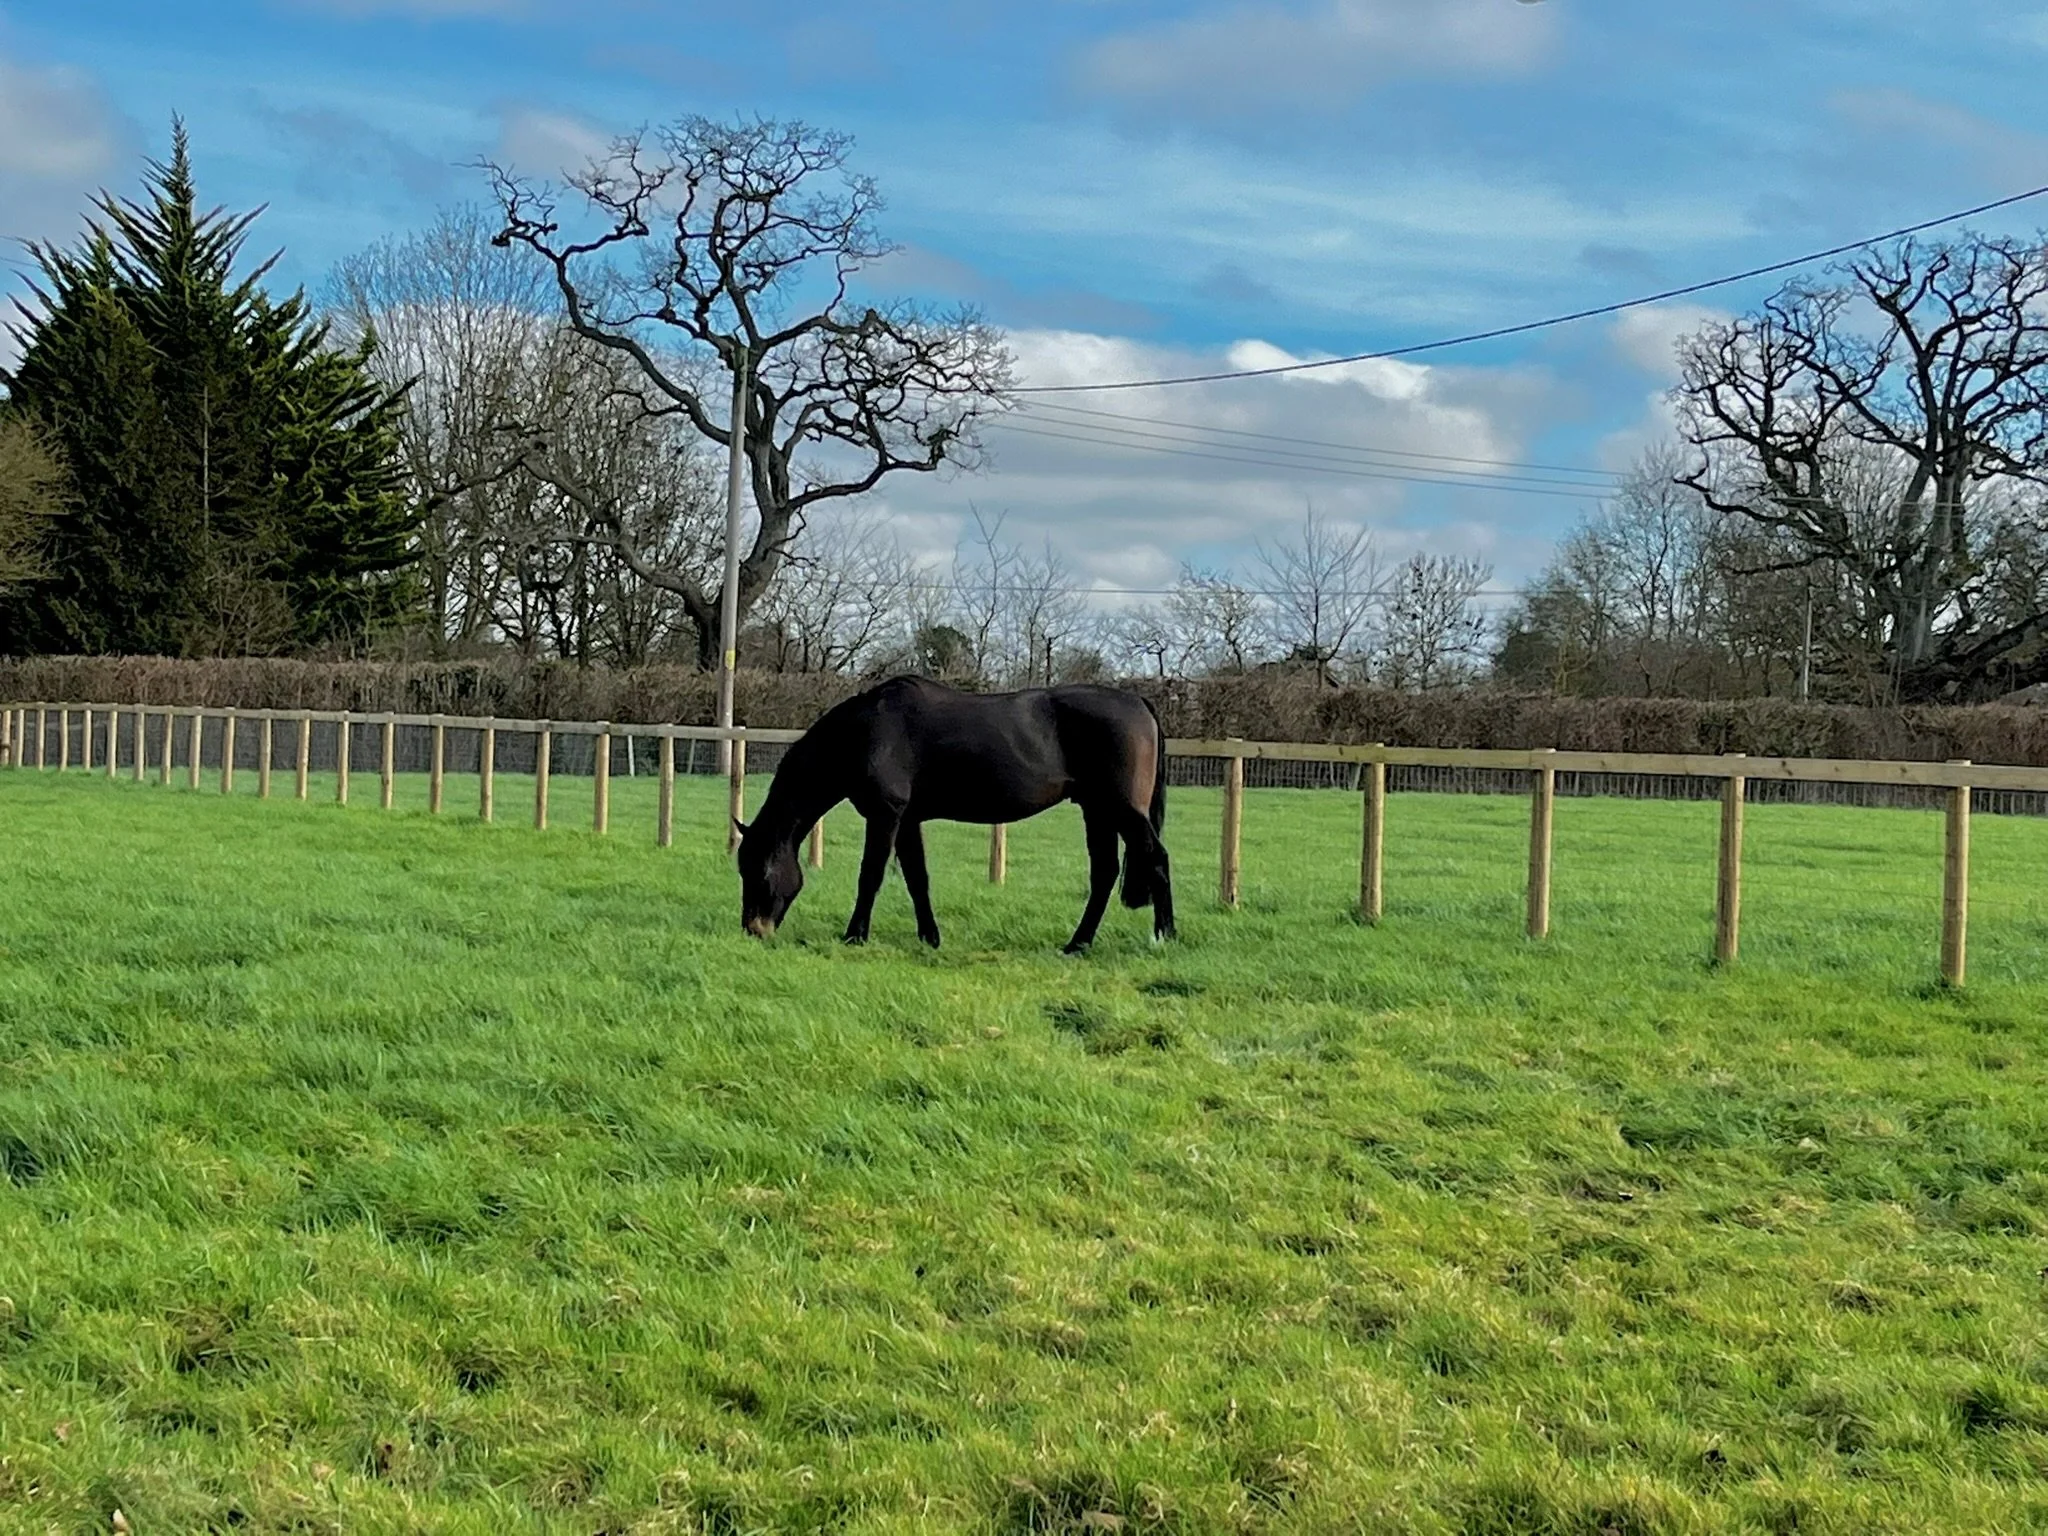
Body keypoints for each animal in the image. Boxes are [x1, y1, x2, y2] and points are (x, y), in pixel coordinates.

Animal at [734, 676, 1175, 953]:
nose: (754, 930)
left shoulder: (886, 815)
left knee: (1156, 858)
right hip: (1096, 810)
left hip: (1121, 809)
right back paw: (1077, 944)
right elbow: (917, 879)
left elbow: (871, 875)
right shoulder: (908, 820)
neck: (867, 731)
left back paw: (1164, 936)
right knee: (1104, 874)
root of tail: (1139, 703)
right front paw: (930, 938)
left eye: (760, 871)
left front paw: (855, 935)